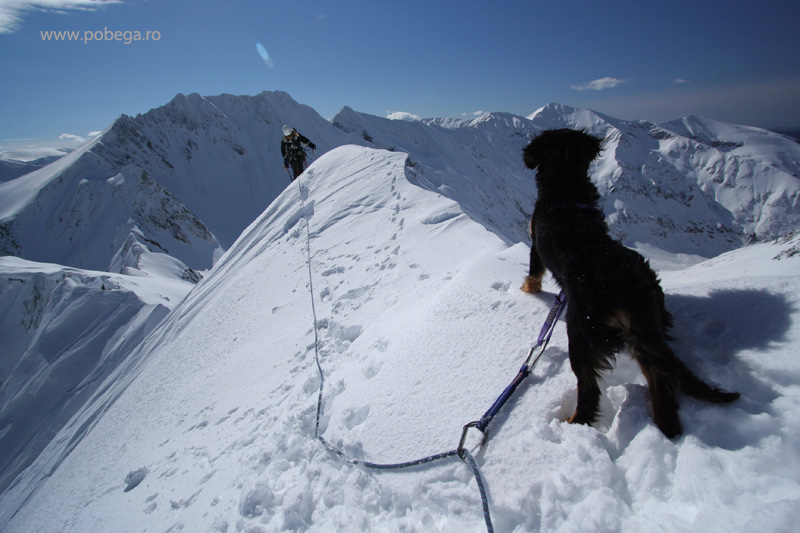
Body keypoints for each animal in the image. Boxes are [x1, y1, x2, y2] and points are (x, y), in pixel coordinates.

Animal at [520, 128, 736, 436]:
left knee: (589, 389)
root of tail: (623, 287)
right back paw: (666, 425)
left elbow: (533, 273)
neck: (565, 186)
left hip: (583, 332)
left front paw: (528, 289)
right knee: (660, 374)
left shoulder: (536, 245)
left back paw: (573, 422)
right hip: (645, 326)